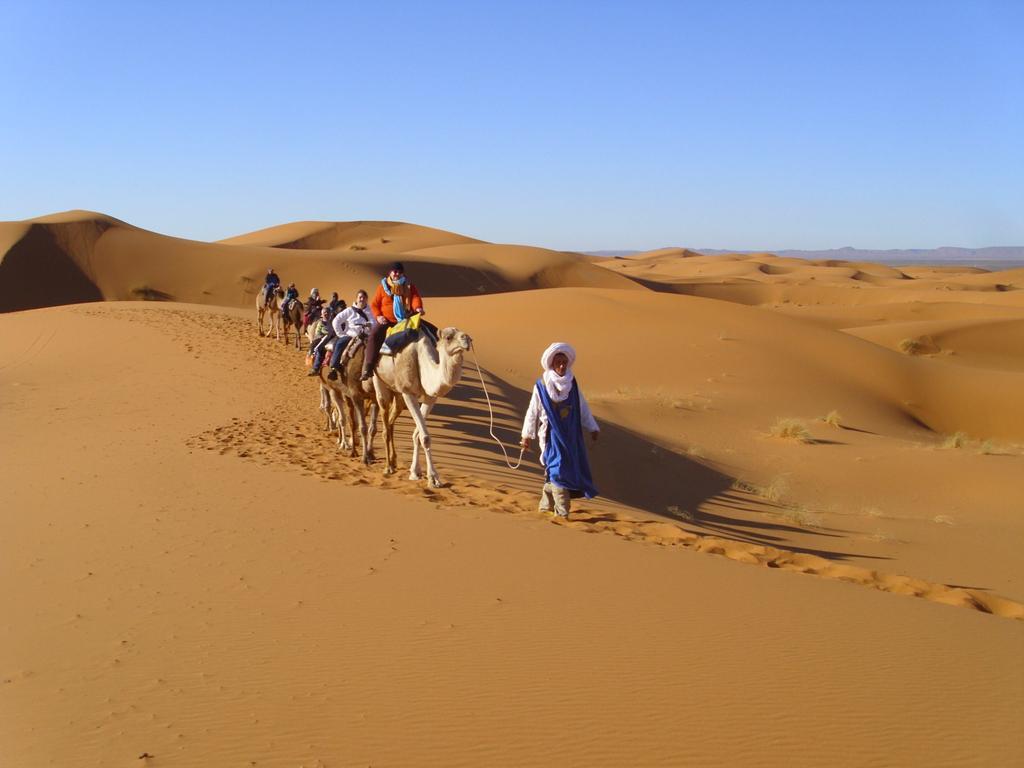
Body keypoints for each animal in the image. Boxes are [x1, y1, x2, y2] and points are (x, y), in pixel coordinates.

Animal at [372, 325, 475, 487]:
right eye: (448, 337)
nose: (467, 339)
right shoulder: (408, 392)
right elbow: (425, 437)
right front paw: (433, 478)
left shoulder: (430, 396)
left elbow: (418, 434)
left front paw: (416, 472)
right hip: (378, 378)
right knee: (384, 417)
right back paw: (388, 467)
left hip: (396, 391)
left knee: (392, 418)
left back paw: (393, 462)